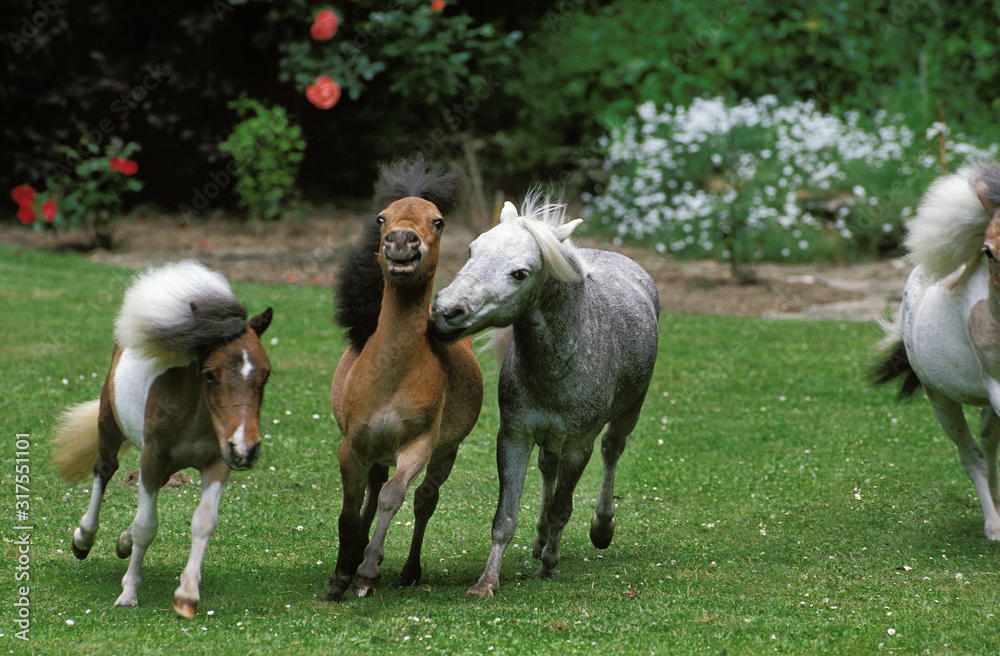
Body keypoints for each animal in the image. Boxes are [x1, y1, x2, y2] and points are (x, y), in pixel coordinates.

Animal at [52, 260, 272, 616]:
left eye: (265, 374)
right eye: (210, 374)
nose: (245, 449)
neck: (195, 415)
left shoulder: (216, 463)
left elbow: (203, 523)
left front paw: (187, 595)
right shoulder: (152, 458)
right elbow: (147, 525)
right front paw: (128, 593)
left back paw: (122, 542)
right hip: (109, 423)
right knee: (104, 469)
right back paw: (84, 538)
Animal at [324, 159, 484, 600]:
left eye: (438, 221)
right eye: (382, 218)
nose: (401, 241)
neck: (391, 377)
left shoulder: (419, 445)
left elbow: (394, 496)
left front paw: (367, 573)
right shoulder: (352, 446)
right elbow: (349, 512)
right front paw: (338, 579)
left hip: (445, 453)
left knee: (423, 500)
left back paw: (409, 570)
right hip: (374, 450)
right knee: (373, 488)